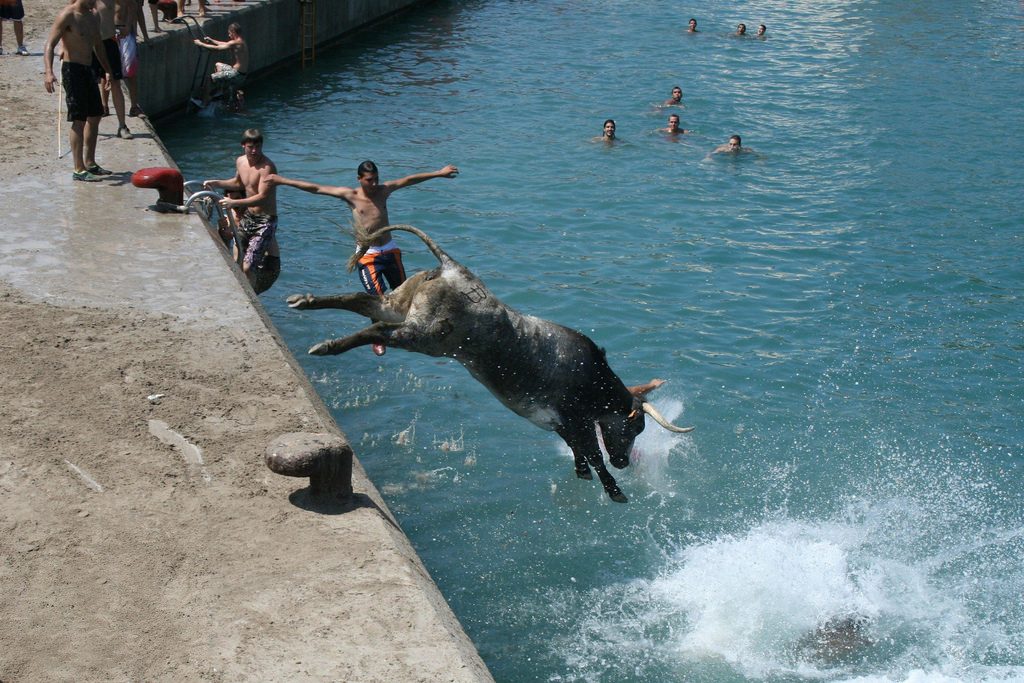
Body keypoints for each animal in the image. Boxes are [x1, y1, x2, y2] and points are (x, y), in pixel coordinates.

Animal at [284, 225, 692, 501]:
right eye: (635, 427)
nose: (625, 462)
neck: (593, 379)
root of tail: (452, 268)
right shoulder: (576, 419)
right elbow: (593, 453)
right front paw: (615, 489)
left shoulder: (564, 423)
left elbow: (582, 454)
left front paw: (586, 476)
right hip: (424, 335)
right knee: (380, 330)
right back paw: (326, 345)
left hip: (399, 304)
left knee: (362, 302)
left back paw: (305, 301)